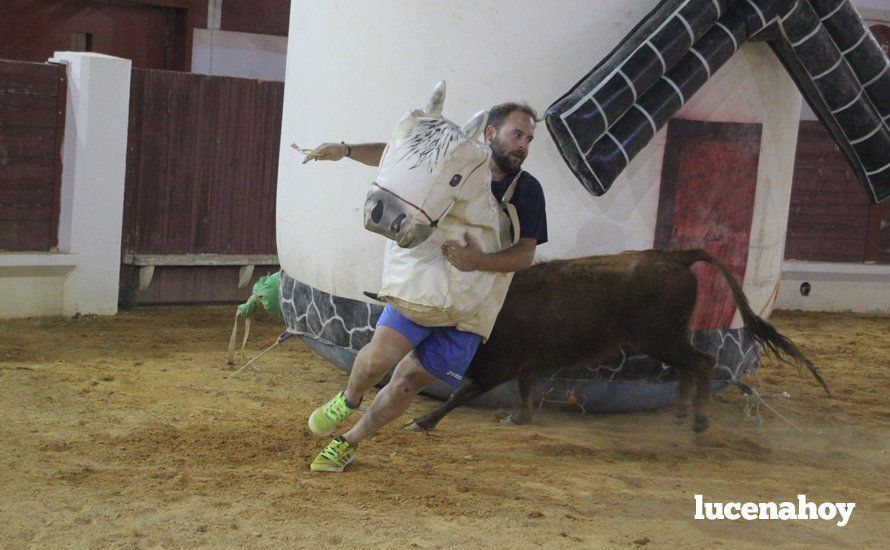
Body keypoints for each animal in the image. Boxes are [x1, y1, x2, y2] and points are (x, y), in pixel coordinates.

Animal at [406, 250, 828, 436]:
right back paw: (682, 412)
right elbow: (526, 389)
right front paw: (519, 417)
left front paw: (422, 421)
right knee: (690, 365)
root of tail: (673, 257)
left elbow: (461, 393)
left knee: (703, 362)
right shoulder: (526, 362)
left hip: (660, 337)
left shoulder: (501, 364)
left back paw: (699, 419)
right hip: (668, 337)